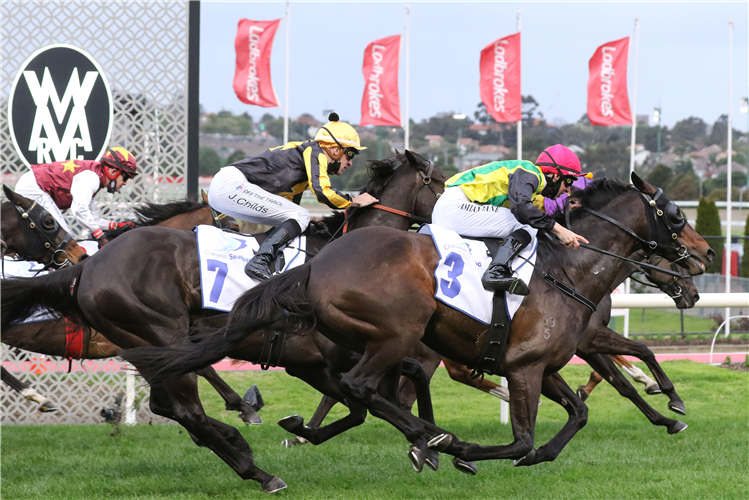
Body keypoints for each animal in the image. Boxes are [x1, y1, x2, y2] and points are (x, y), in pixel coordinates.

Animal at [0, 150, 444, 494]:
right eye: (441, 184)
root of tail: (86, 269)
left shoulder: (319, 361)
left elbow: (400, 381)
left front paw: (429, 443)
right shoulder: (326, 358)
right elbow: (375, 397)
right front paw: (430, 443)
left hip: (148, 342)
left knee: (167, 404)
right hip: (162, 333)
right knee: (185, 409)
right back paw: (259, 471)